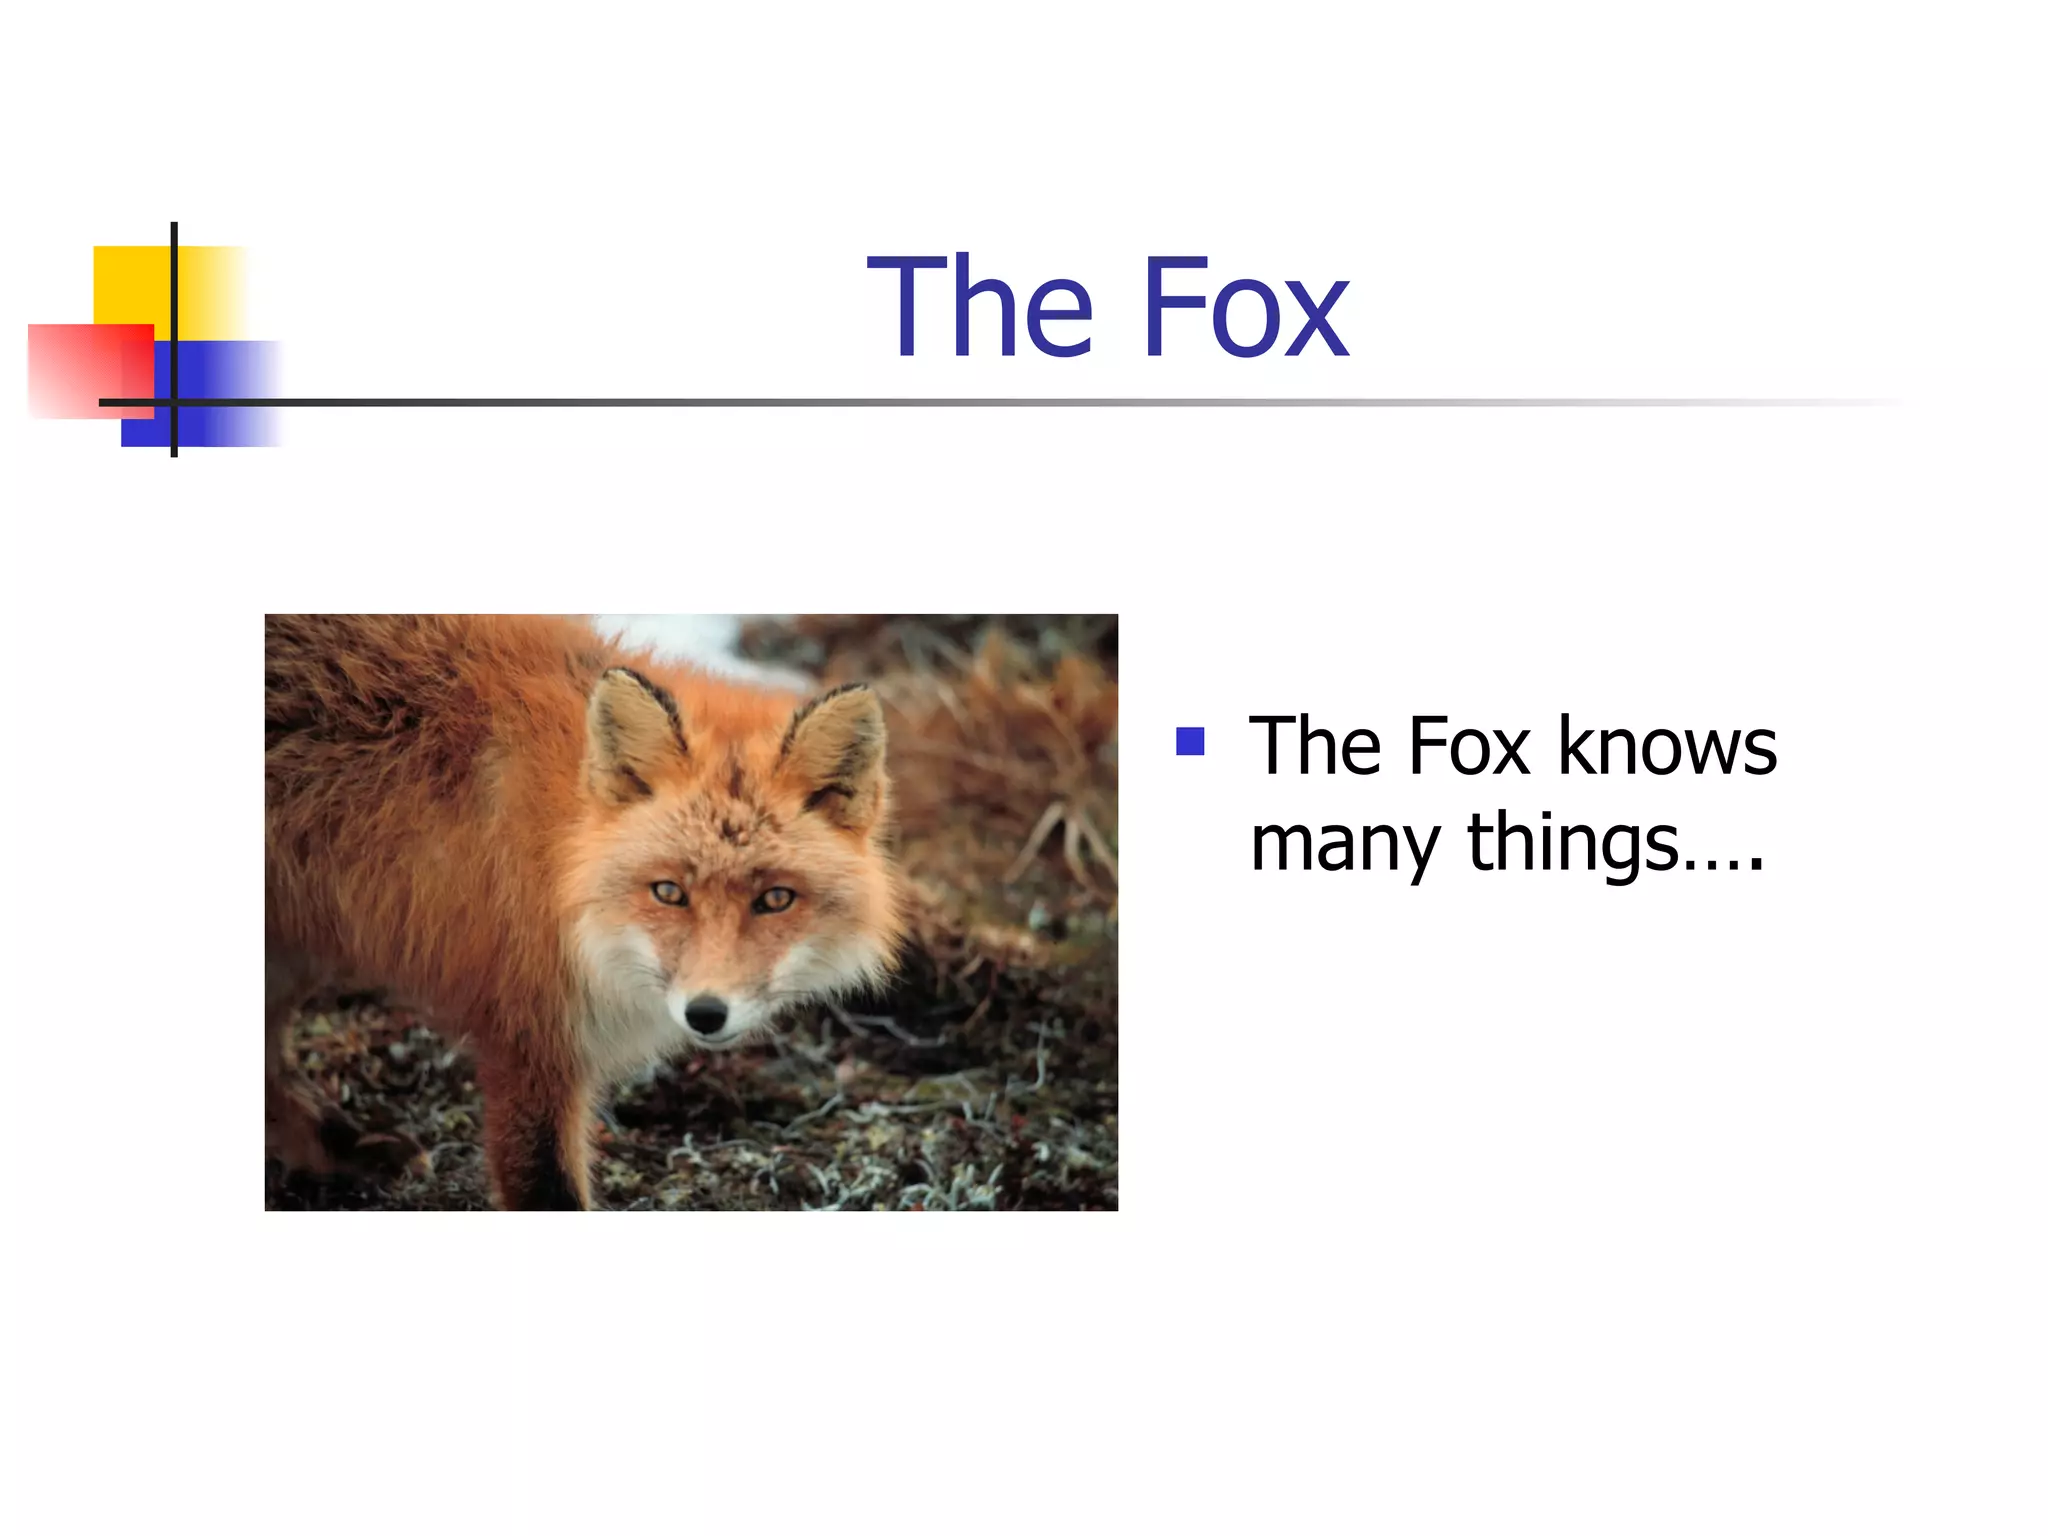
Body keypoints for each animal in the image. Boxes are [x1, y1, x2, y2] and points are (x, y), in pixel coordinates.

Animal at [265, 614, 905, 1209]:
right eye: (668, 891)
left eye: (775, 899)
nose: (705, 1013)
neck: (562, 857)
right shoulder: (525, 1032)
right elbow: (545, 1185)